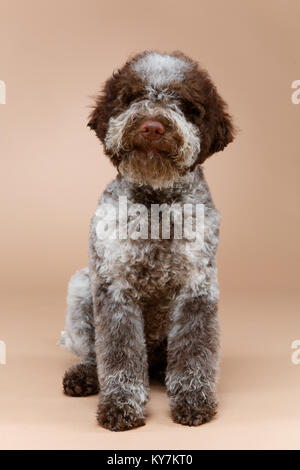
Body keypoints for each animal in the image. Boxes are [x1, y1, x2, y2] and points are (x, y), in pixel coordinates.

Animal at [59, 50, 236, 430]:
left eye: (185, 105)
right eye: (132, 96)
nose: (152, 127)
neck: (156, 205)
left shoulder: (197, 289)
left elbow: (194, 352)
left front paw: (193, 399)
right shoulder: (114, 290)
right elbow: (118, 354)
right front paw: (121, 404)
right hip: (81, 286)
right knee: (95, 352)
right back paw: (85, 375)